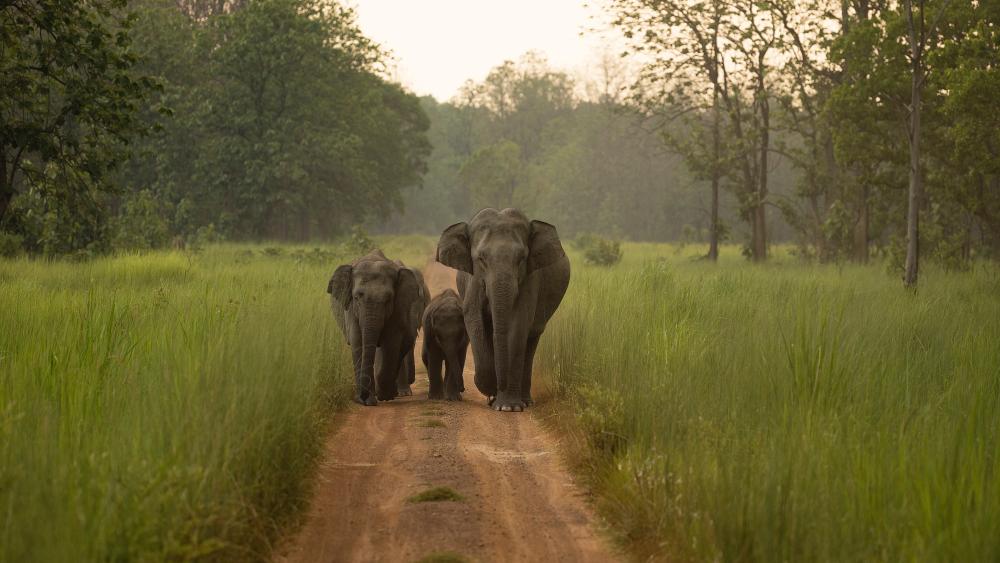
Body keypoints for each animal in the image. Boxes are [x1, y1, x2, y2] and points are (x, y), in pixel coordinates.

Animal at [328, 251, 422, 406]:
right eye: (356, 297)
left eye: (388, 299)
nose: (361, 397)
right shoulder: (351, 309)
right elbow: (358, 342)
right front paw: (367, 401)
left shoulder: (398, 307)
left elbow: (391, 342)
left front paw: (385, 396)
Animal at [434, 209, 568, 412]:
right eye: (481, 259)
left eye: (521, 259)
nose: (466, 386)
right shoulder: (473, 279)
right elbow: (474, 320)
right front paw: (491, 390)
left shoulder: (530, 279)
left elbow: (518, 324)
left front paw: (508, 407)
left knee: (531, 339)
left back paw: (525, 401)